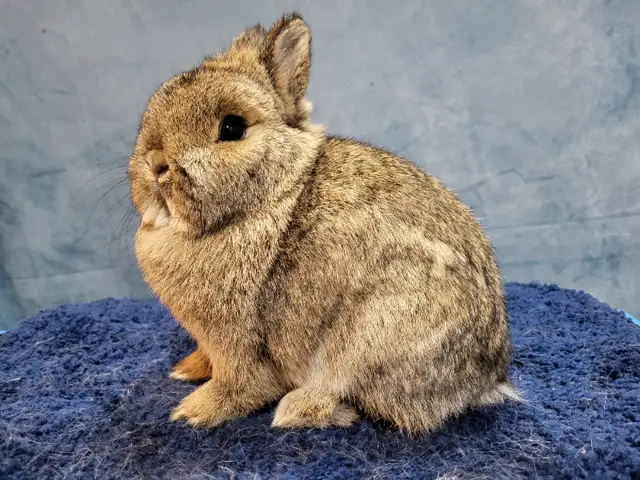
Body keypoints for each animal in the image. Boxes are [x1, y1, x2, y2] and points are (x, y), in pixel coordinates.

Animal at [128, 12, 522, 434]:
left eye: (232, 128)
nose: (155, 163)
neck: (268, 197)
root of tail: (483, 383)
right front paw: (186, 370)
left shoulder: (239, 343)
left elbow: (240, 384)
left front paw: (193, 411)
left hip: (368, 340)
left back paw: (295, 409)